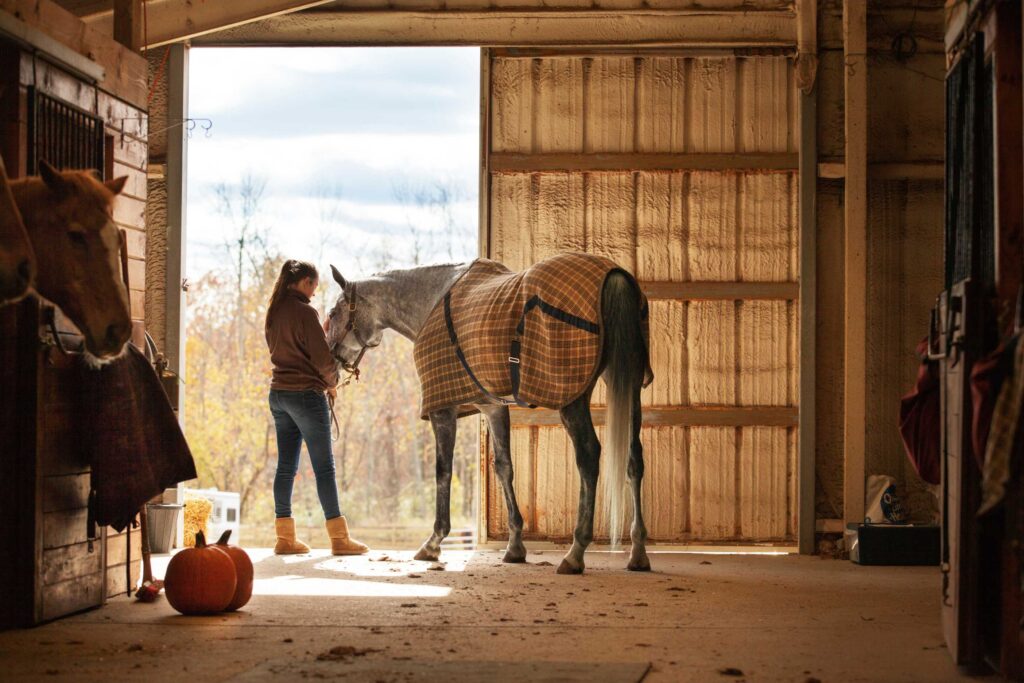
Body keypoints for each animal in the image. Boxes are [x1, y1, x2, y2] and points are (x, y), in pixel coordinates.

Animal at [325, 254, 652, 575]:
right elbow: (504, 467)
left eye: (333, 312)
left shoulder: (443, 409)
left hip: (573, 400)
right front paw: (515, 546)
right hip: (630, 386)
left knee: (588, 457)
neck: (432, 299)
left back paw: (575, 553)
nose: (333, 361)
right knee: (634, 459)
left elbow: (443, 471)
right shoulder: (492, 407)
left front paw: (433, 543)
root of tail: (613, 276)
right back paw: (637, 552)